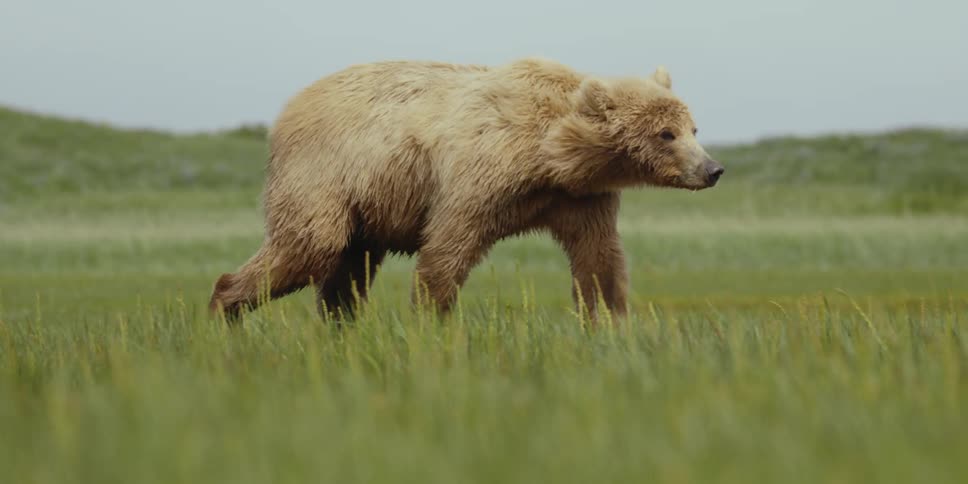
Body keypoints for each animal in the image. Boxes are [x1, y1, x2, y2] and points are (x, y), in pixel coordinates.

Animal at [208, 57, 724, 324]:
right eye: (666, 134)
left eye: (693, 128)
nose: (713, 169)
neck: (550, 155)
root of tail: (287, 111)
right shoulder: (480, 178)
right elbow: (448, 246)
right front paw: (429, 322)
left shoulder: (579, 198)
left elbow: (597, 258)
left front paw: (609, 322)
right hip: (327, 177)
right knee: (310, 246)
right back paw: (224, 308)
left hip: (365, 207)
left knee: (347, 270)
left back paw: (343, 329)